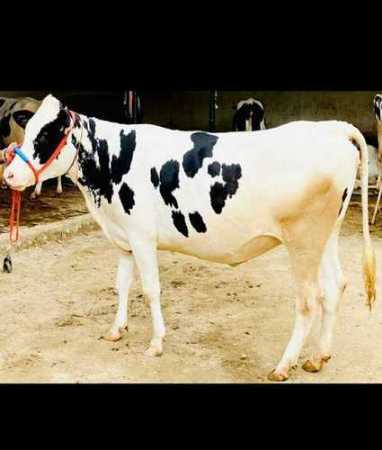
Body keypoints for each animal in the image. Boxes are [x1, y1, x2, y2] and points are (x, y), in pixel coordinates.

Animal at [3, 94, 376, 380]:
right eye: (28, 129)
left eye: (46, 135)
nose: (9, 175)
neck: (113, 162)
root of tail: (332, 127)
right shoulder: (123, 238)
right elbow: (121, 285)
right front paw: (116, 330)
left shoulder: (142, 236)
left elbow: (150, 290)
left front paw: (156, 343)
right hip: (326, 236)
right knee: (335, 286)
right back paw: (318, 357)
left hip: (303, 240)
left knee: (309, 301)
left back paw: (284, 365)